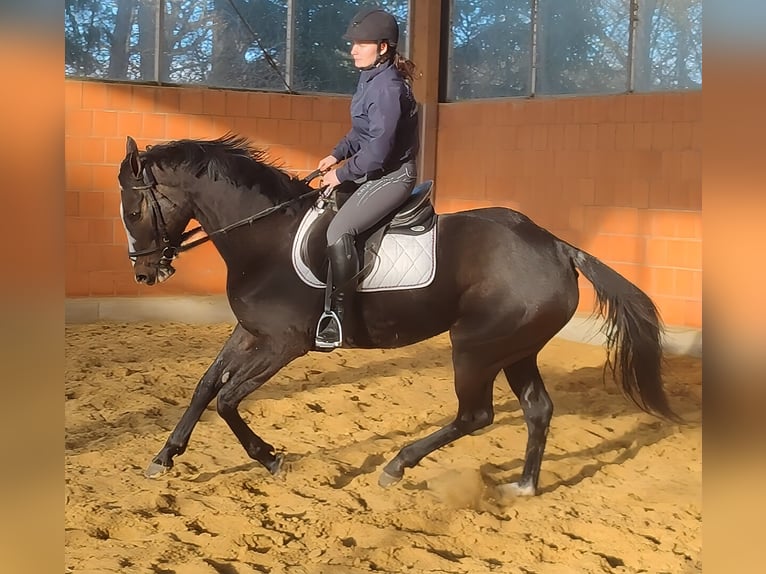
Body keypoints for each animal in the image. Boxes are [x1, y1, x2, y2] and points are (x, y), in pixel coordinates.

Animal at [118, 134, 678, 496]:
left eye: (134, 211)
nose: (144, 273)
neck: (264, 238)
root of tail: (558, 246)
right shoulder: (251, 331)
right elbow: (206, 386)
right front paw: (164, 457)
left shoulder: (283, 343)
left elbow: (229, 399)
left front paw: (272, 459)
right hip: (516, 348)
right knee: (537, 409)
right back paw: (522, 486)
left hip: (475, 347)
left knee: (476, 415)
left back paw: (397, 467)